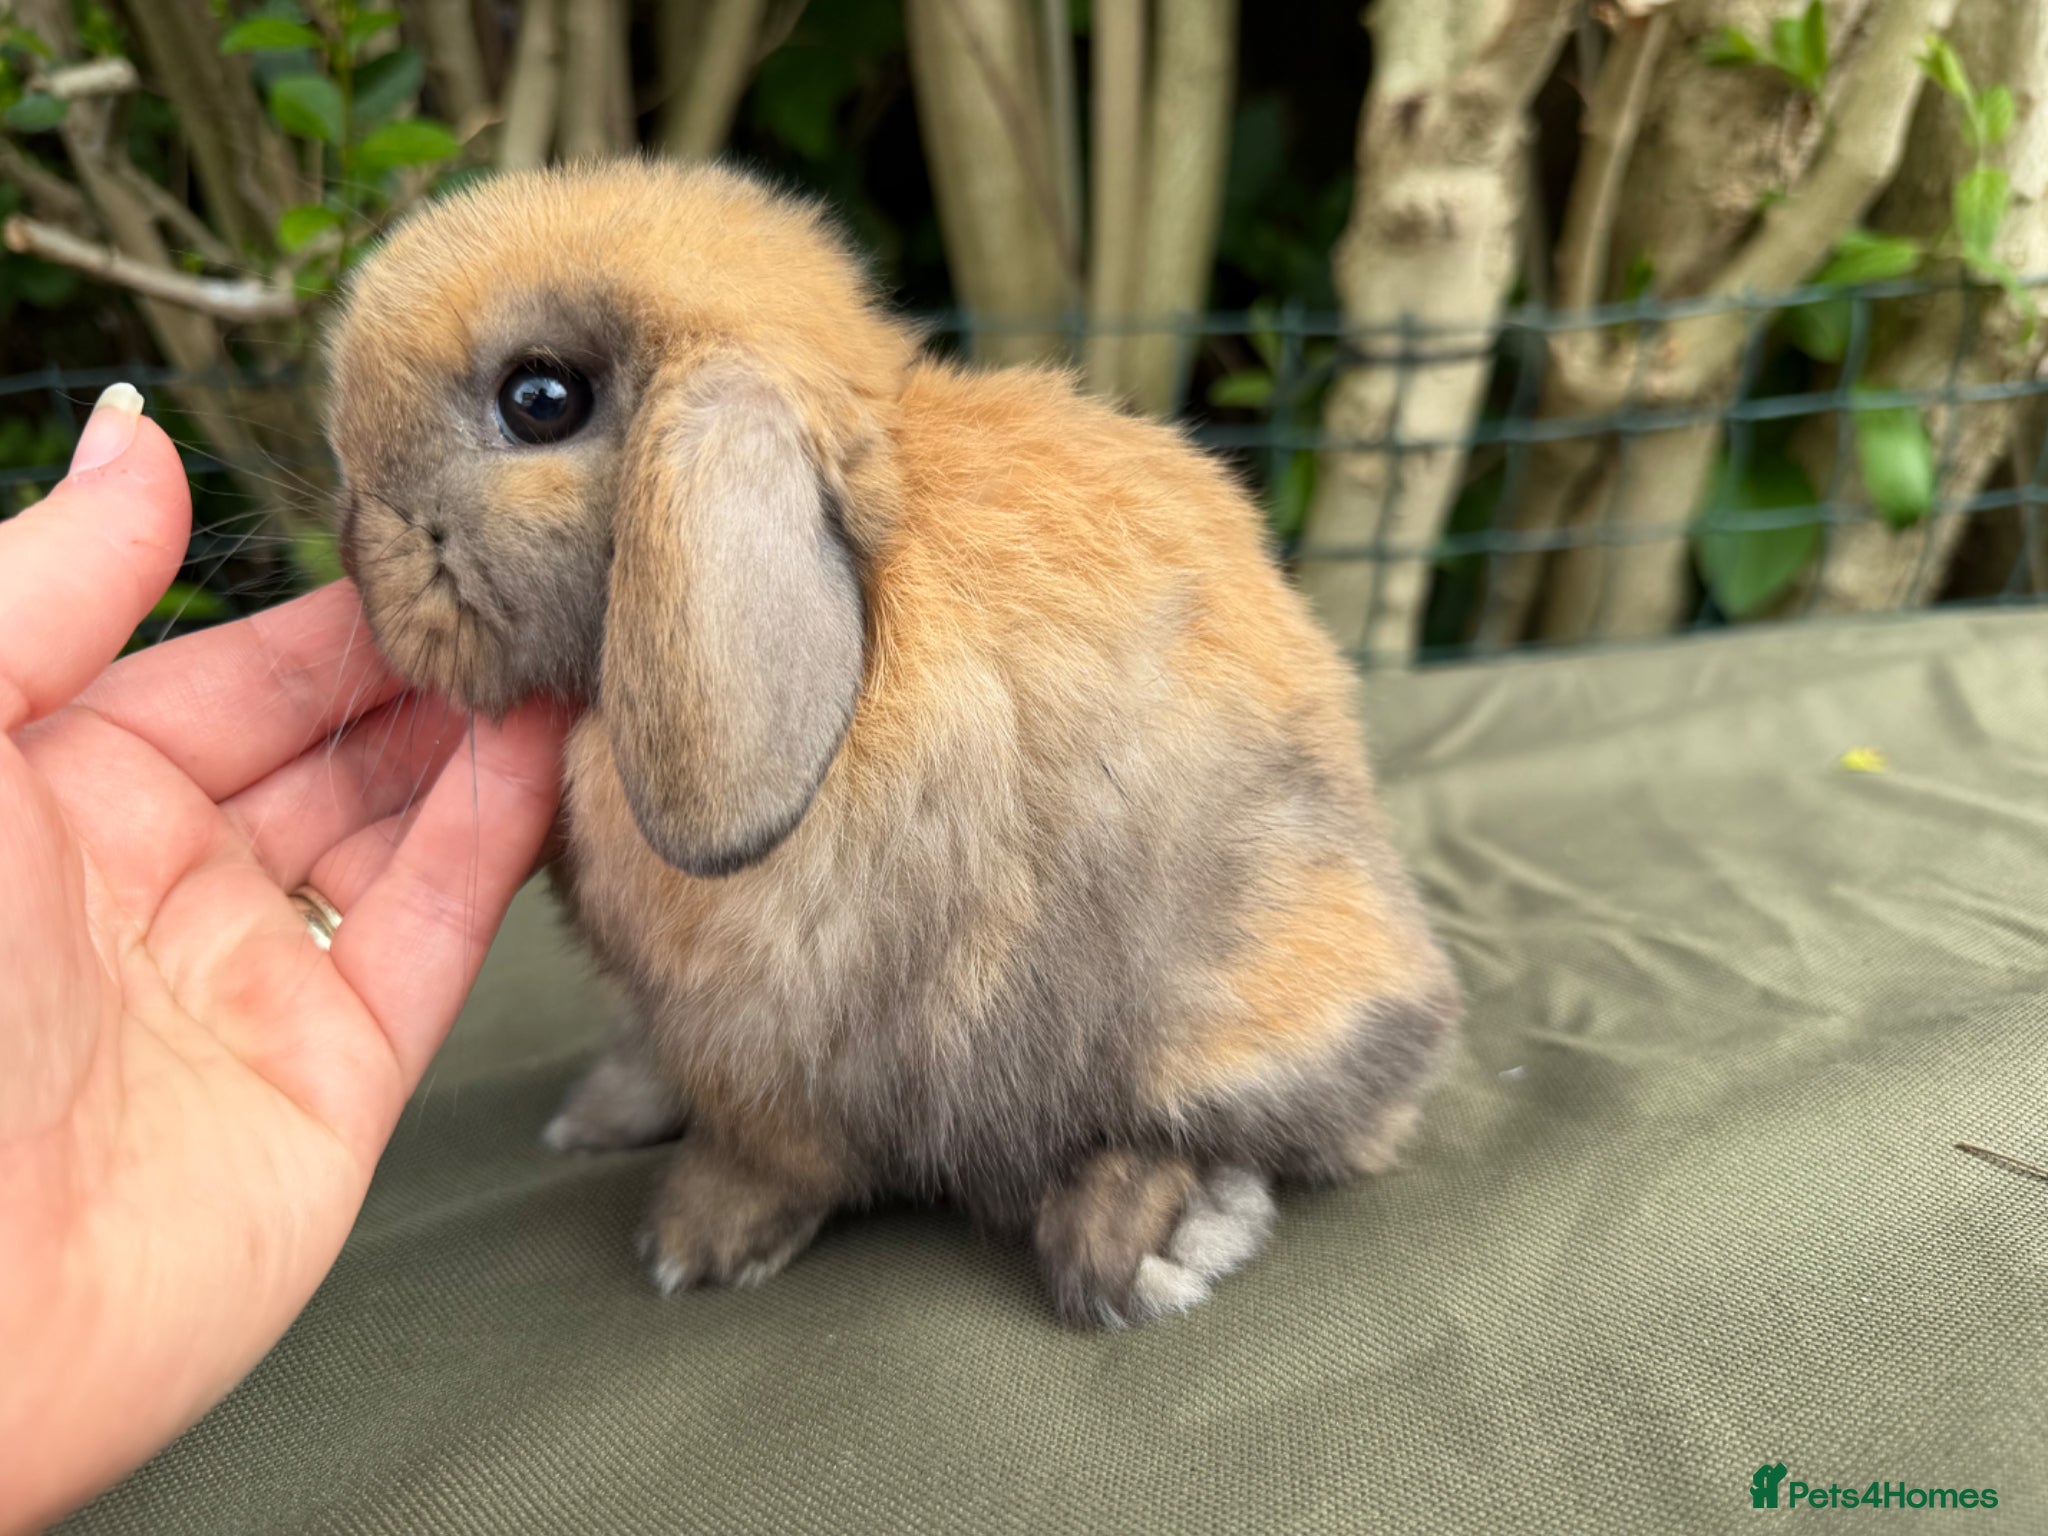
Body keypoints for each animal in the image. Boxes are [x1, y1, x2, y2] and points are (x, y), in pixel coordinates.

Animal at [325, 159, 1461, 1327]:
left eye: (539, 400)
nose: (354, 548)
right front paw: (600, 1120)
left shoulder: (772, 1039)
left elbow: (771, 1155)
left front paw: (693, 1243)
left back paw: (1132, 1237)